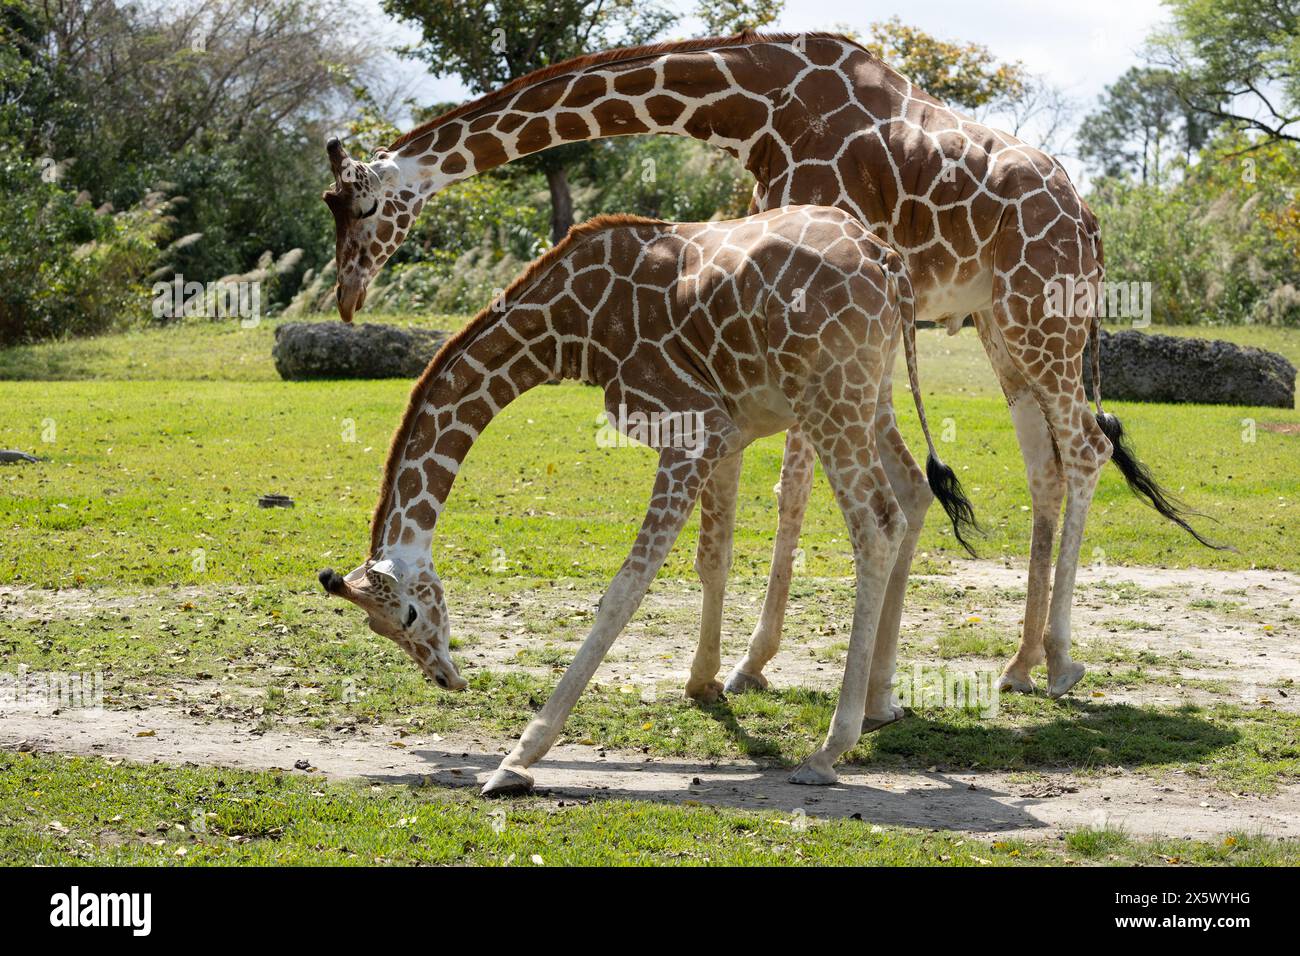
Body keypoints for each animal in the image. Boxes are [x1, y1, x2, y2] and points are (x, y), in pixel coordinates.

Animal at [317, 208, 977, 790]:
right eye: (377, 629)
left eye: (407, 615)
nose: (444, 678)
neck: (573, 329)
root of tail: (887, 261)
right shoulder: (730, 430)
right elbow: (713, 559)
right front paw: (704, 684)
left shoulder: (693, 428)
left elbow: (624, 589)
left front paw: (519, 759)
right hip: (872, 389)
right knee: (912, 491)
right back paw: (879, 705)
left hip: (829, 395)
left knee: (877, 522)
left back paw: (827, 751)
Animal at [319, 31, 1211, 702]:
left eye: (360, 206)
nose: (348, 297)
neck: (749, 106)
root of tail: (1090, 220)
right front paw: (753, 663)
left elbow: (791, 488)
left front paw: (748, 665)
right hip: (1006, 329)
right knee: (1047, 466)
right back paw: (1020, 664)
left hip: (1042, 317)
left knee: (1088, 448)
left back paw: (1059, 663)